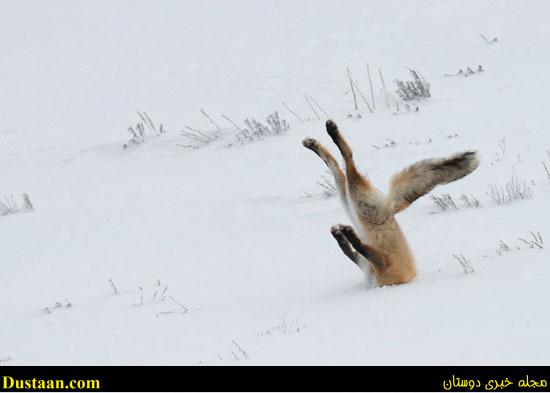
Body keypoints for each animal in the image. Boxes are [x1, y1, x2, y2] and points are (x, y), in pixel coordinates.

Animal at [304, 118, 480, 284]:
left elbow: (357, 247)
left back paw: (330, 133)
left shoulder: (383, 263)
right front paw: (341, 235)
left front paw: (346, 234)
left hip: (356, 201)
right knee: (337, 165)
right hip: (351, 201)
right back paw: (316, 142)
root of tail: (390, 207)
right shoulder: (371, 264)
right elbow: (349, 250)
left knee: (347, 160)